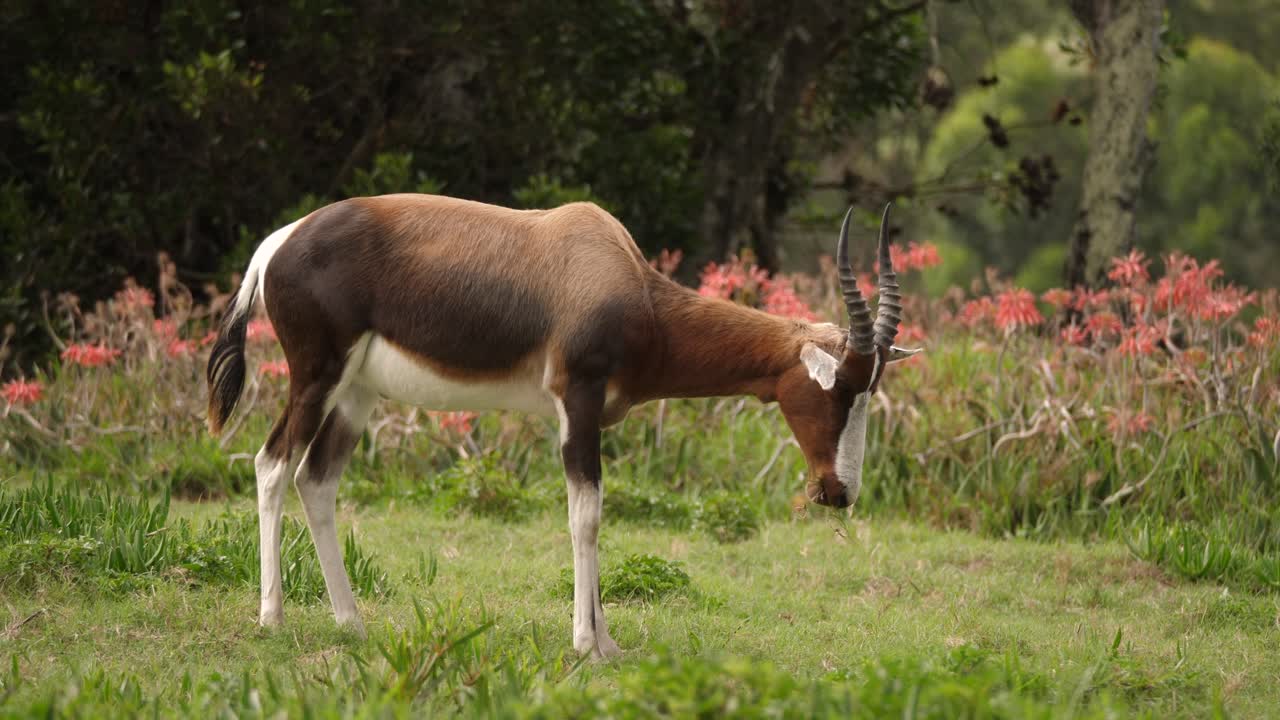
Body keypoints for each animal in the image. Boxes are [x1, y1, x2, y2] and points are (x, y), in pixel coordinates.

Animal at [205, 194, 917, 658]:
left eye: (873, 390)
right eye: (840, 389)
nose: (838, 492)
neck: (617, 271)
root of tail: (278, 243)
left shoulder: (593, 415)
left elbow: (597, 515)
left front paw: (607, 640)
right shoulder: (576, 404)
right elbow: (586, 516)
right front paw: (585, 645)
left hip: (357, 394)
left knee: (317, 480)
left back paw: (352, 624)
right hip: (316, 377)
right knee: (272, 465)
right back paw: (272, 620)